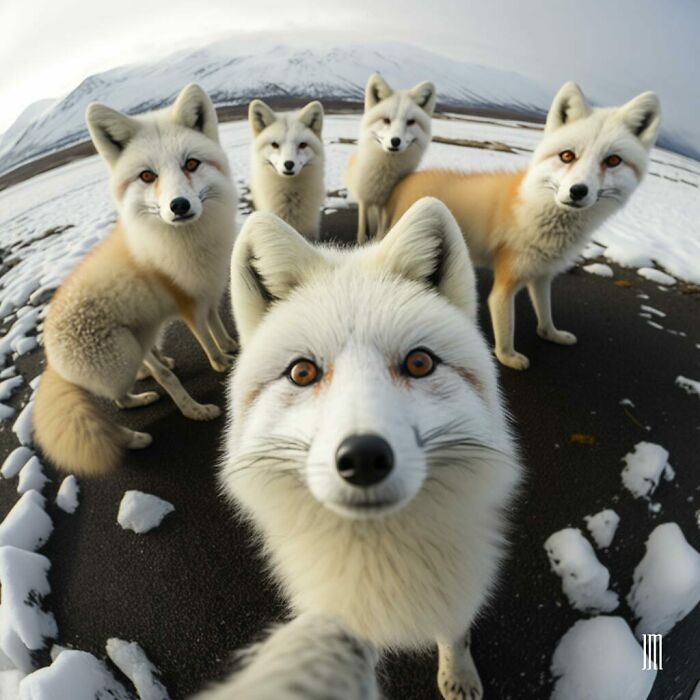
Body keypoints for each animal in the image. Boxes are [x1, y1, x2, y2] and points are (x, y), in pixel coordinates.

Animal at [32, 83, 238, 476]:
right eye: (147, 176)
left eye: (191, 164)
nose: (179, 206)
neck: (191, 244)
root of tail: (49, 356)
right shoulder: (187, 304)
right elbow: (206, 340)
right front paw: (221, 363)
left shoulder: (209, 291)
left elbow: (218, 327)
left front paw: (232, 346)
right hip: (123, 356)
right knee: (115, 405)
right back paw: (137, 437)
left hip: (138, 343)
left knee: (125, 396)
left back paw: (148, 387)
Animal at [220, 198, 523, 700]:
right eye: (302, 372)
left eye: (419, 363)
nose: (362, 458)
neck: (382, 558)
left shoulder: (459, 587)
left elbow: (455, 632)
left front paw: (457, 674)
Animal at [347, 73, 436, 242]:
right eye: (386, 120)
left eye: (410, 122)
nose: (395, 141)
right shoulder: (364, 199)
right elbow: (362, 231)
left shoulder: (386, 206)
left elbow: (381, 234)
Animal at [386, 82, 661, 370]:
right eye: (567, 156)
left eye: (613, 161)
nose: (577, 191)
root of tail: (411, 176)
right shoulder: (506, 283)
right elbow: (506, 327)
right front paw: (507, 357)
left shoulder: (542, 275)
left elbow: (545, 313)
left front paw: (551, 334)